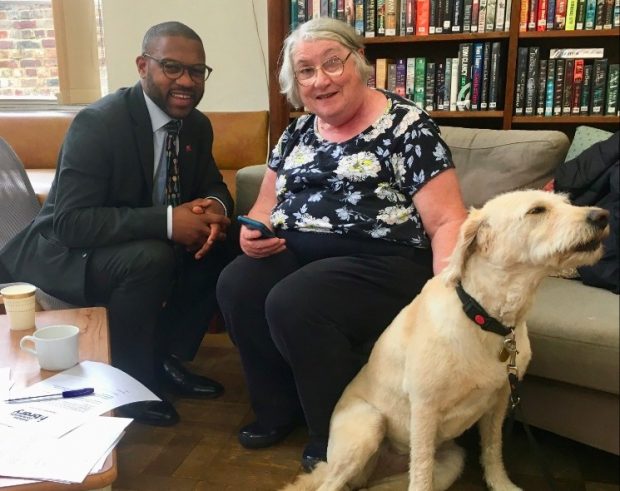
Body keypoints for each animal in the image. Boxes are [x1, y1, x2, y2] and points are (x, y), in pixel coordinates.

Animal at [282, 191, 612, 491]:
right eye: (537, 210)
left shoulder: (500, 400)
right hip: (368, 426)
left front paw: (501, 485)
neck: (486, 319)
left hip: (448, 462)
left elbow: (492, 450)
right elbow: (421, 473)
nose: (602, 216)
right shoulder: (424, 408)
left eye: (567, 202)